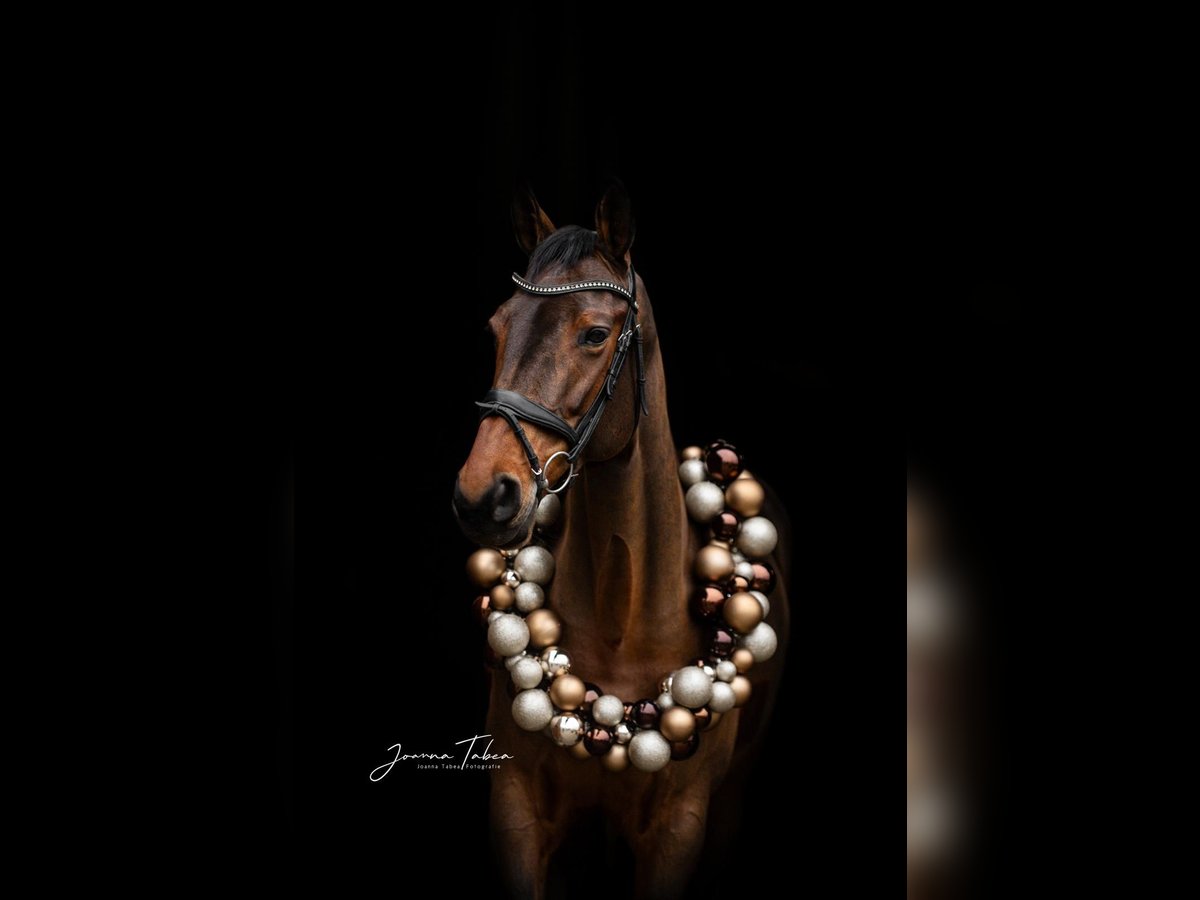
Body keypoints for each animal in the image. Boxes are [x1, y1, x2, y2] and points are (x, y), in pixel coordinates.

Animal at [453, 182, 790, 899]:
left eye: (595, 334)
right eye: (497, 326)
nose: (482, 496)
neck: (623, 611)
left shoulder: (677, 831)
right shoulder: (517, 811)